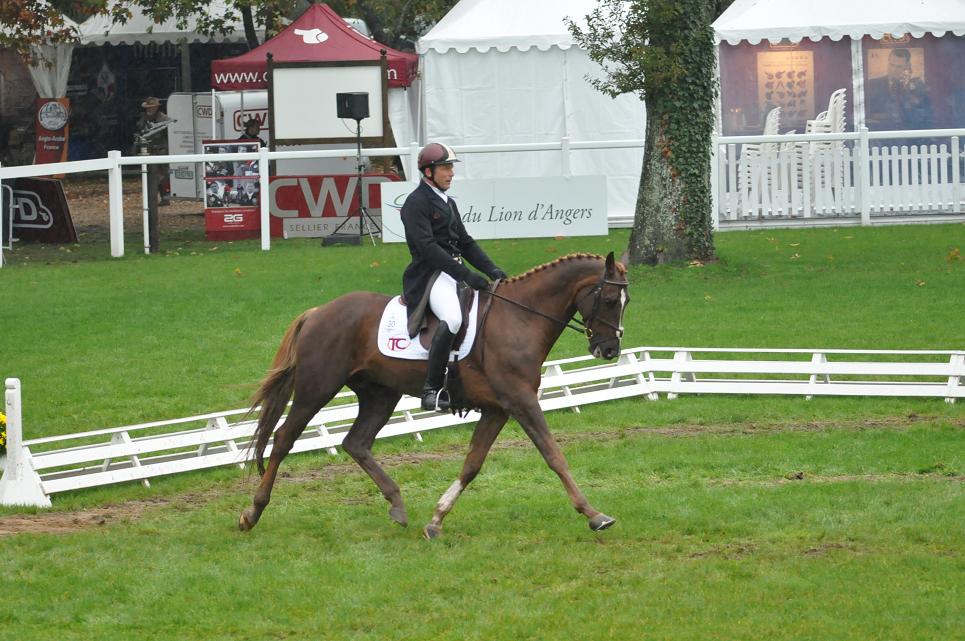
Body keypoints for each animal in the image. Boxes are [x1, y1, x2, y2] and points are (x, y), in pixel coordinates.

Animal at [240, 250, 628, 536]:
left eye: (626, 301)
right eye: (610, 299)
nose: (610, 350)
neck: (519, 318)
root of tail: (319, 311)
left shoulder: (498, 408)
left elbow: (472, 464)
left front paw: (437, 519)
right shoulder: (520, 401)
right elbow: (554, 456)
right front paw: (594, 514)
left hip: (380, 394)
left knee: (357, 442)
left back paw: (397, 505)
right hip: (317, 388)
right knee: (284, 439)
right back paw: (253, 512)